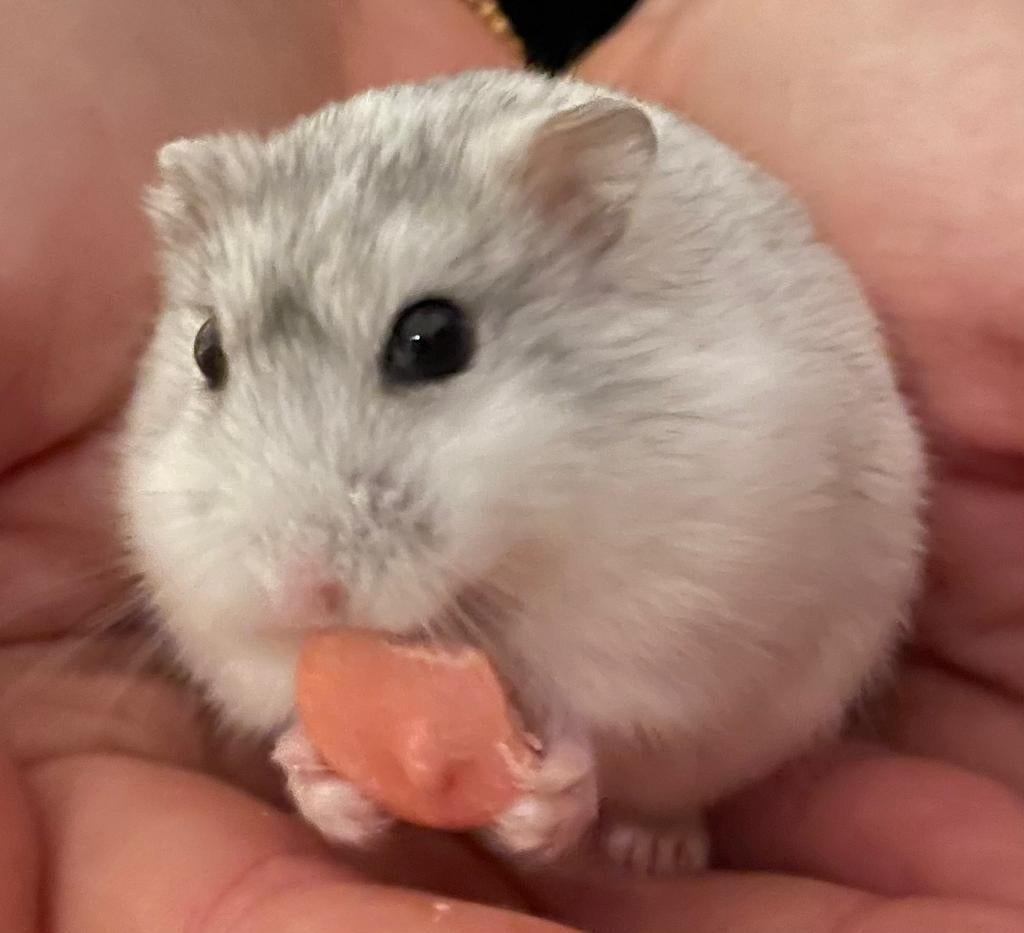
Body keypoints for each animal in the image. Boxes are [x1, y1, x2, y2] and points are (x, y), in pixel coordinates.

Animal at [120, 69, 926, 875]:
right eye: (206, 351)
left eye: (433, 338)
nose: (305, 594)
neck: (494, 574)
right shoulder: (213, 613)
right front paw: (322, 781)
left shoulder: (671, 605)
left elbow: (601, 720)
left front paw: (547, 803)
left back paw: (653, 852)